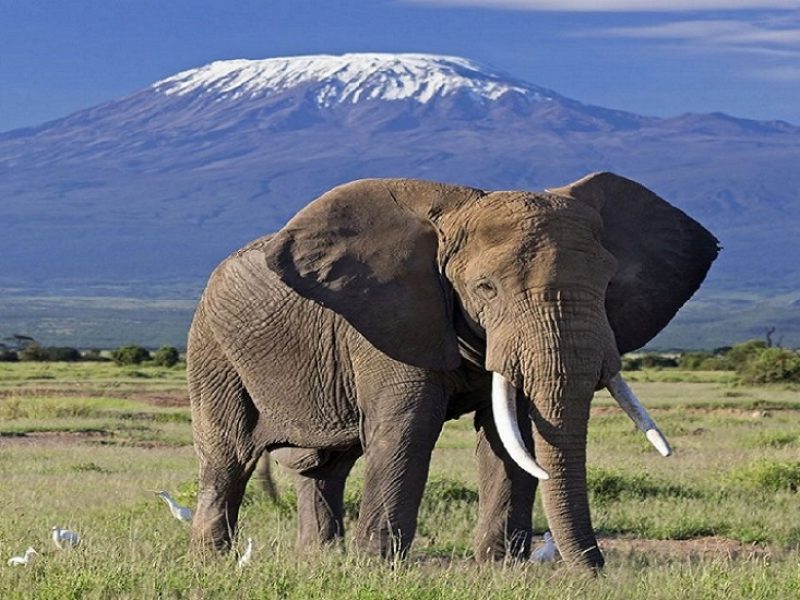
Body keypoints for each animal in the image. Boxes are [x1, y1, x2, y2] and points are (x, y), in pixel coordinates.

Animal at [188, 171, 720, 568]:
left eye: (608, 284)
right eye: (486, 288)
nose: (596, 572)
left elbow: (512, 433)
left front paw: (501, 568)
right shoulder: (388, 320)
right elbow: (409, 429)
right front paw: (377, 568)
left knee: (324, 465)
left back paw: (319, 559)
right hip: (211, 346)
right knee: (228, 456)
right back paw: (214, 560)